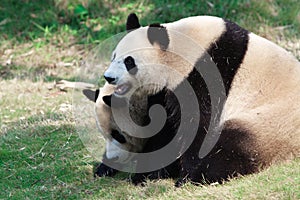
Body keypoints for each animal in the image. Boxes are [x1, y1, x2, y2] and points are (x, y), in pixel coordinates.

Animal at [102, 13, 300, 187]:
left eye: (129, 62)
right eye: (113, 56)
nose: (108, 77)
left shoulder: (207, 75)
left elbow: (199, 127)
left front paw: (185, 175)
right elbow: (165, 128)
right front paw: (146, 173)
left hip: (271, 124)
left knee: (233, 145)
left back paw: (199, 177)